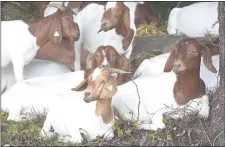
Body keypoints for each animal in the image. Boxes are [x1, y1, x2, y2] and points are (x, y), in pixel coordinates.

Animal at [74, 38, 216, 131]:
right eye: (175, 50)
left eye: (194, 51)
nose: (177, 66)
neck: (183, 86)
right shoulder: (157, 108)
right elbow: (161, 123)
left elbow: (205, 96)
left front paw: (204, 113)